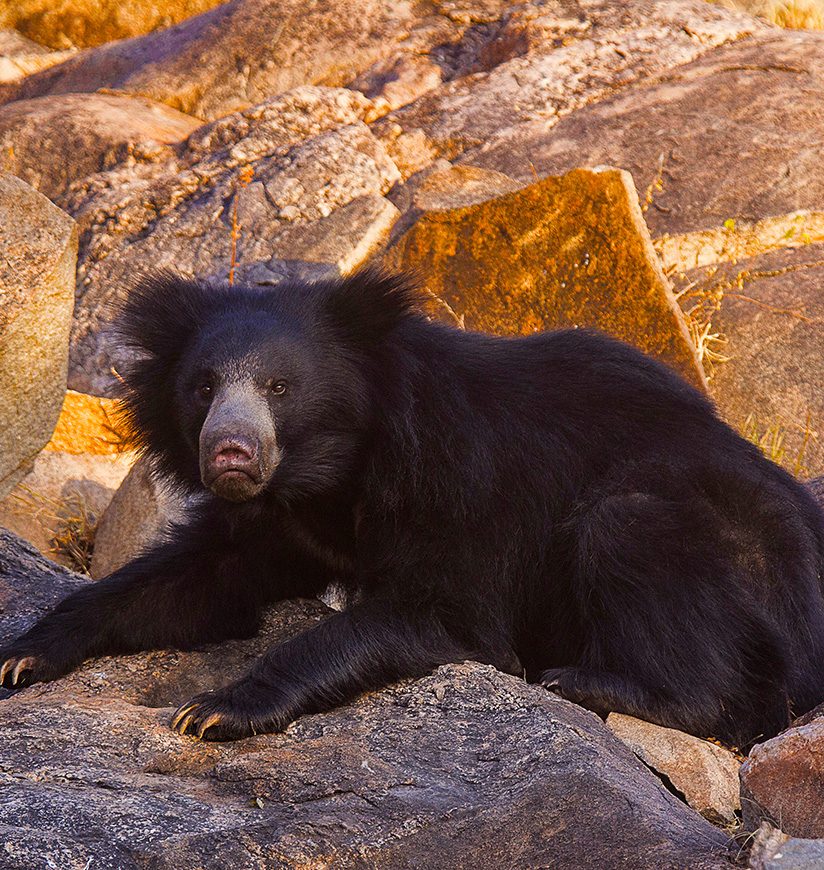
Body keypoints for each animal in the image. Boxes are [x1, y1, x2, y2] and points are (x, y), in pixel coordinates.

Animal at [1, 270, 824, 744]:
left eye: (279, 388)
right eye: (203, 387)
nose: (230, 453)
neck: (334, 471)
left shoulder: (463, 480)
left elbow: (446, 614)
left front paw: (215, 708)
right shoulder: (280, 522)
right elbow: (194, 578)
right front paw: (23, 654)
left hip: (739, 557)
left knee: (632, 537)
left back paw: (588, 682)